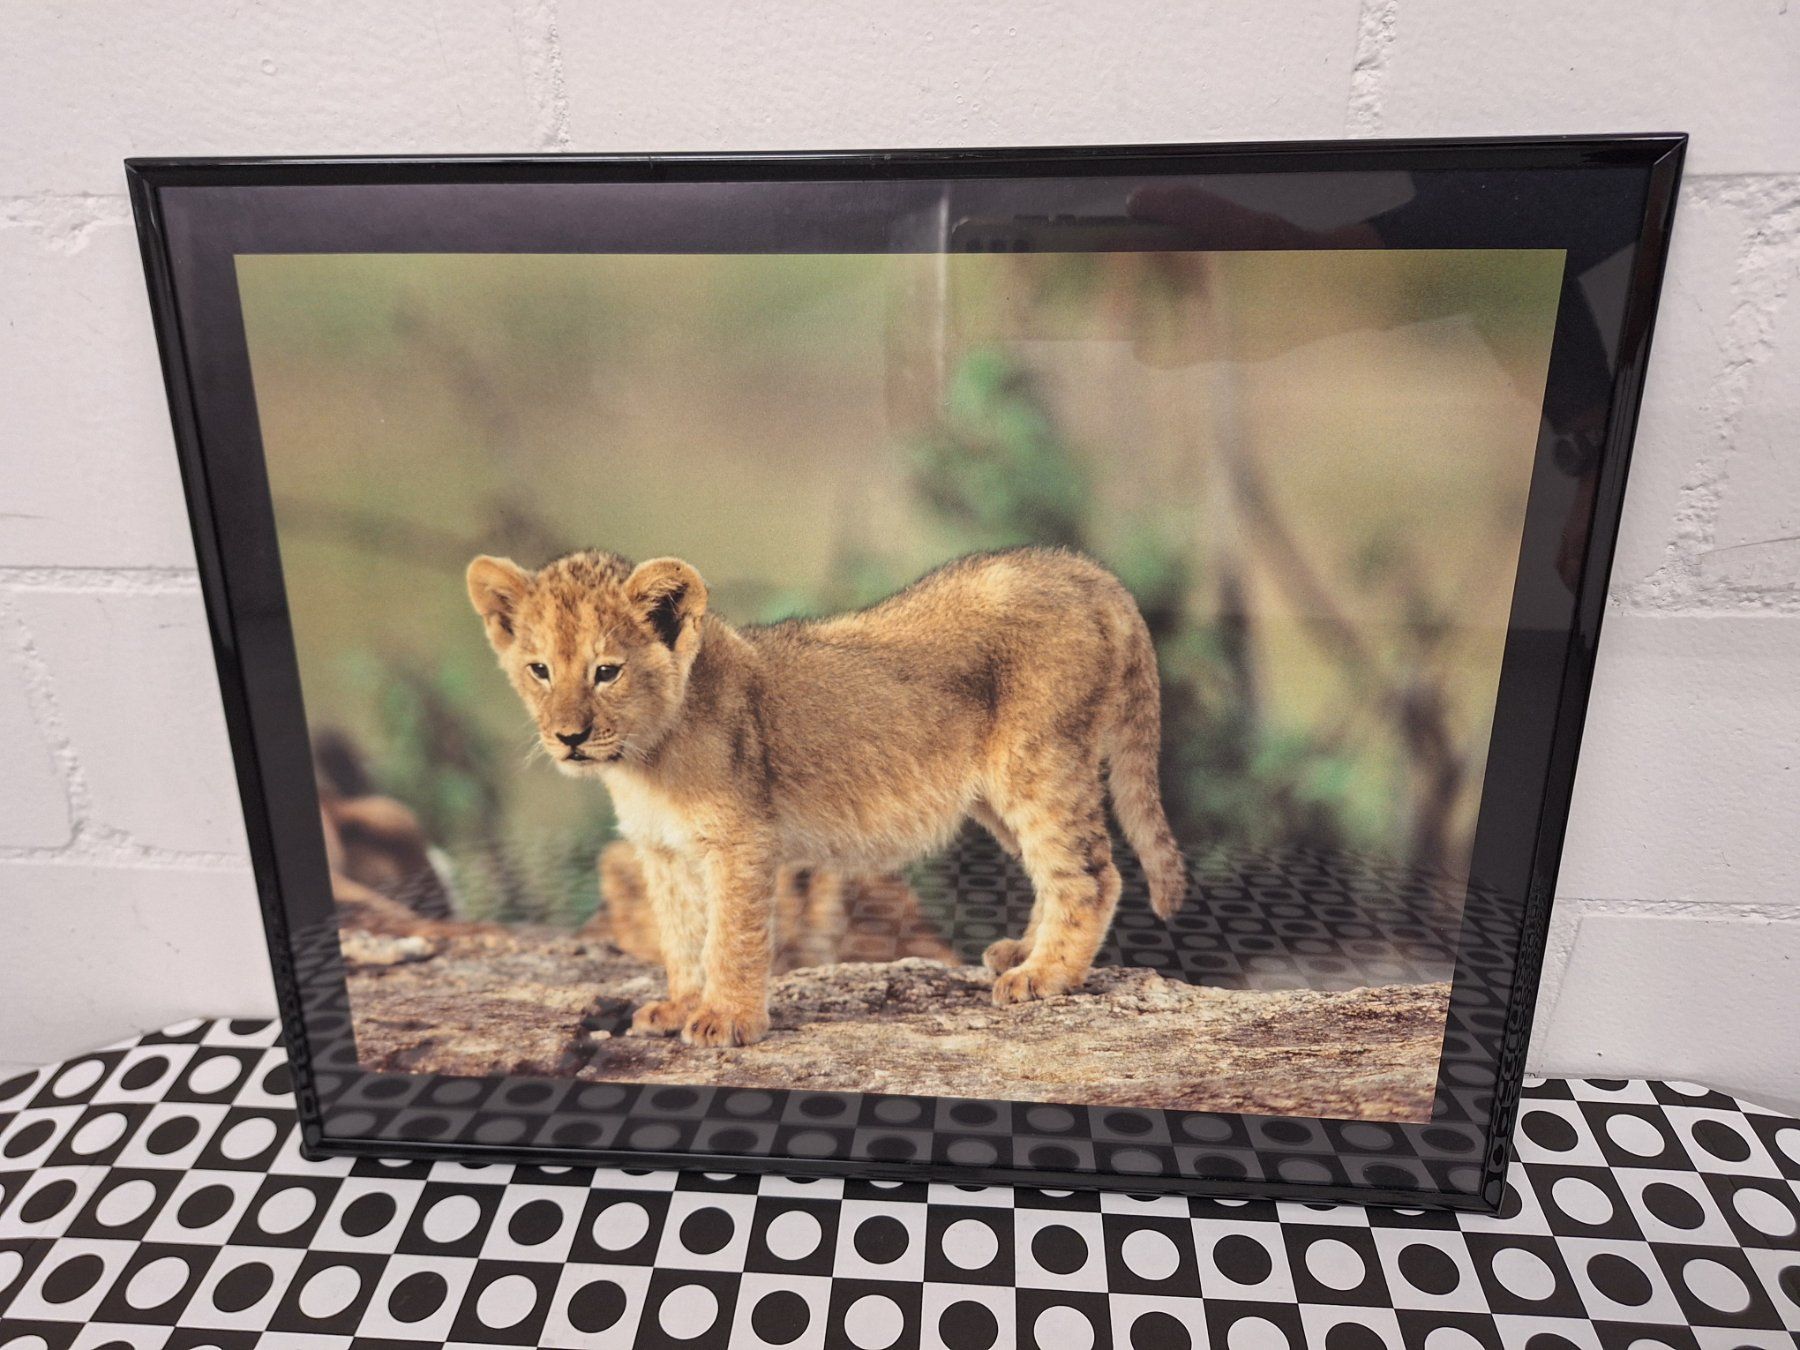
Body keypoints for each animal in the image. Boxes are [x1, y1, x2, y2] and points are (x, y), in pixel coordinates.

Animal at [467, 546, 1187, 1047]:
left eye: (606, 671)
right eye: (539, 670)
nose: (569, 737)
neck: (645, 761)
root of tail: (1087, 572)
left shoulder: (743, 840)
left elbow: (731, 937)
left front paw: (726, 1020)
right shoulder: (663, 853)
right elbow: (681, 934)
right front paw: (679, 1006)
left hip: (1038, 763)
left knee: (1091, 874)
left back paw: (1044, 976)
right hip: (998, 795)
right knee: (1054, 872)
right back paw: (1021, 952)